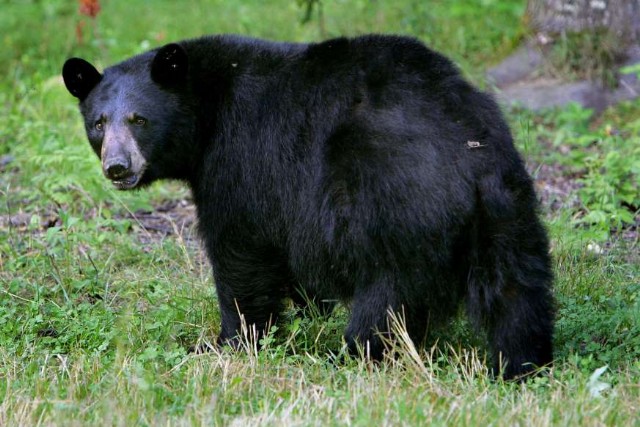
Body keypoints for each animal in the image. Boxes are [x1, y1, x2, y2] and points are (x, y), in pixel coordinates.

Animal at [62, 34, 554, 380]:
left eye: (139, 119)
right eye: (98, 123)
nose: (117, 166)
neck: (206, 112)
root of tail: (466, 153)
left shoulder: (241, 161)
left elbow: (240, 253)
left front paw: (229, 342)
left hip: (397, 206)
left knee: (389, 299)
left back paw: (354, 355)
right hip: (507, 208)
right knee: (517, 290)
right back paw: (522, 364)